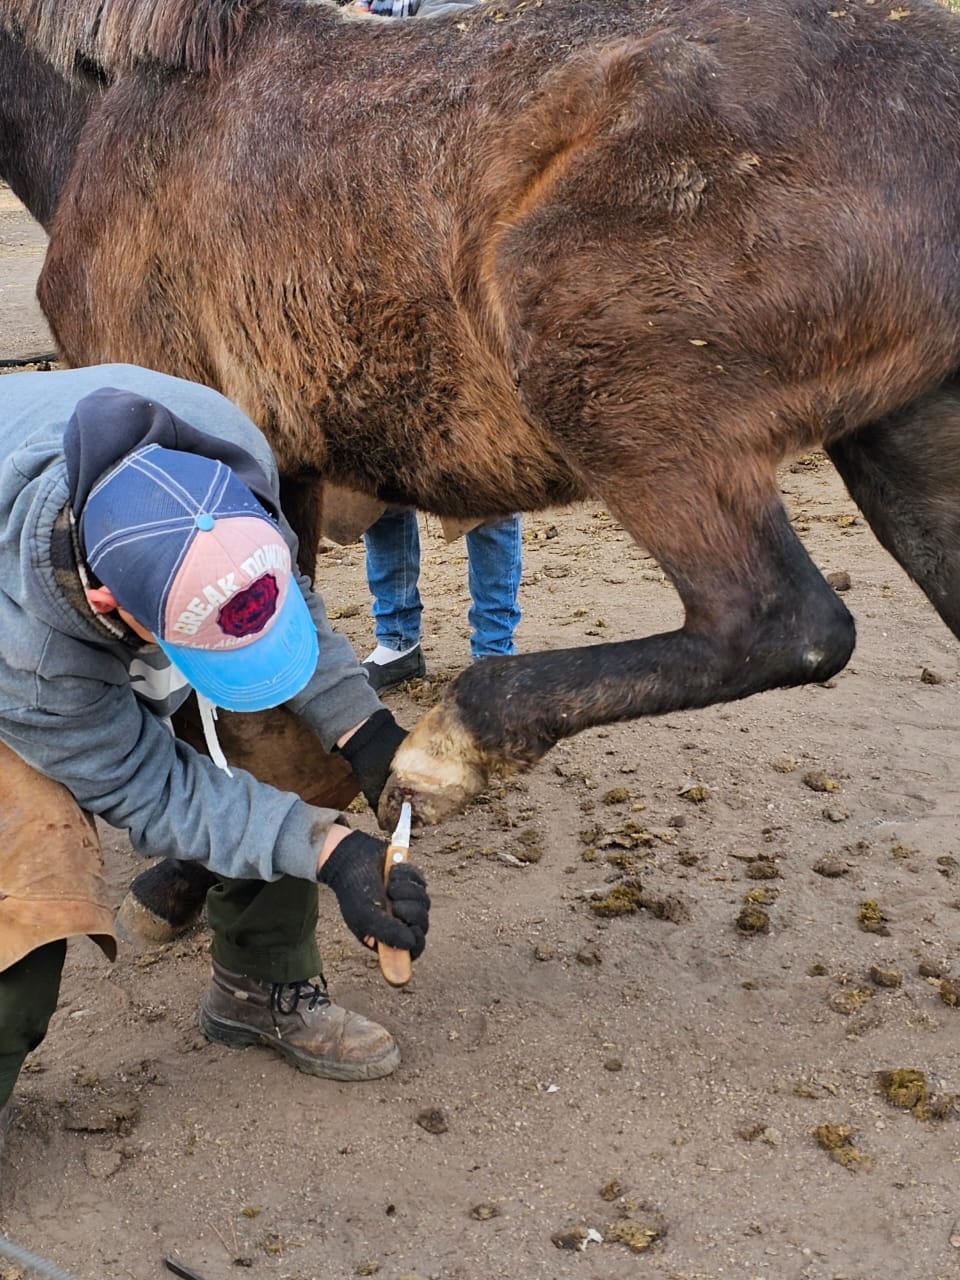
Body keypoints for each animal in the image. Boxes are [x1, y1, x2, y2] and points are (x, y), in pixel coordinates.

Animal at [3, 0, 960, 829]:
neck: (122, 106)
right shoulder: (281, 472)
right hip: (907, 459)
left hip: (621, 398)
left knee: (781, 625)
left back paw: (448, 751)